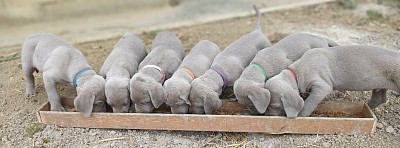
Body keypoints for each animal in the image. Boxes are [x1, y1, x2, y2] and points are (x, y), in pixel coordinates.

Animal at [266, 45, 400, 118]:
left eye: (274, 106)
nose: (266, 115)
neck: (296, 72)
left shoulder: (322, 86)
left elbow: (309, 103)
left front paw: (301, 115)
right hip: (379, 85)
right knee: (379, 98)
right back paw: (366, 107)